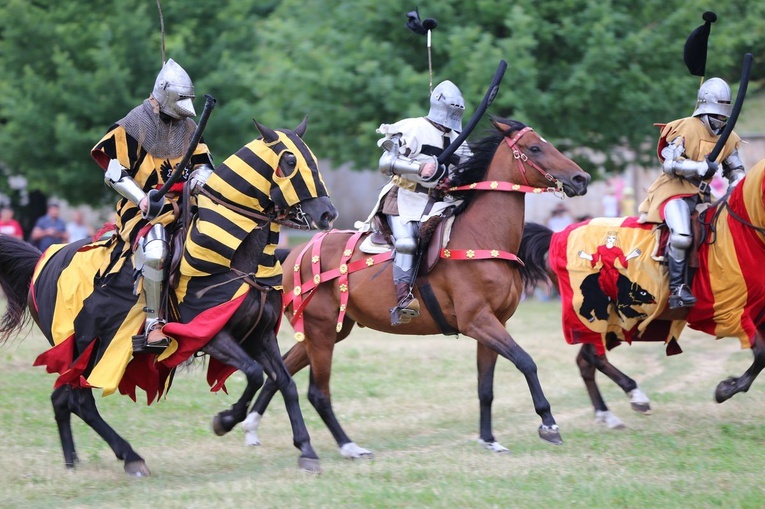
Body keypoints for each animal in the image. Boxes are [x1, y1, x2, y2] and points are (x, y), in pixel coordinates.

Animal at [0, 120, 334, 476]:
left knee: (64, 398)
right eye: (290, 161)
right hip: (83, 347)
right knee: (79, 400)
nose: (328, 214)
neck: (236, 258)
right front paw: (225, 420)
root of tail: (42, 261)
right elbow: (256, 374)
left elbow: (285, 383)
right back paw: (130, 456)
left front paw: (306, 449)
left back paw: (72, 459)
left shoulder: (259, 336)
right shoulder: (208, 336)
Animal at [224, 118, 588, 456]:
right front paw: (548, 423)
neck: (481, 236)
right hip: (321, 330)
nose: (580, 179)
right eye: (535, 148)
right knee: (316, 390)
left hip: (327, 331)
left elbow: (486, 386)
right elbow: (527, 361)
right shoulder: (478, 322)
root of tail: (291, 256)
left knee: (284, 370)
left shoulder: (493, 323)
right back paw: (347, 446)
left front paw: (489, 439)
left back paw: (251, 426)